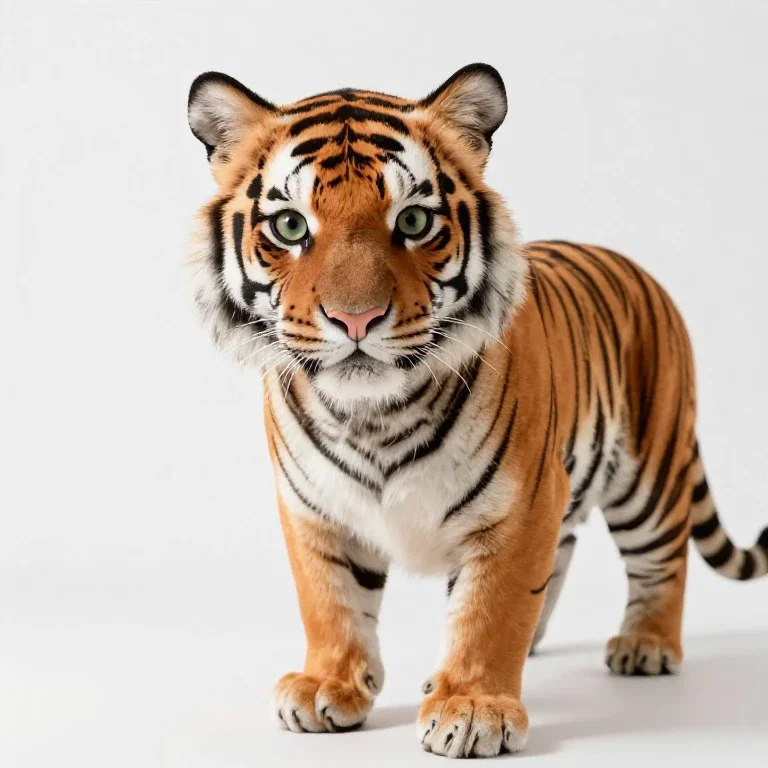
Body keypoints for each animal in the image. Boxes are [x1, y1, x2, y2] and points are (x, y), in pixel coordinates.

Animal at [185, 63, 768, 759]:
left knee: (663, 561)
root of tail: (632, 265)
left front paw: (472, 709)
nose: (356, 319)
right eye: (292, 228)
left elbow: (492, 609)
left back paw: (645, 645)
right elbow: (329, 601)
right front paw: (329, 685)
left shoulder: (521, 504)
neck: (371, 415)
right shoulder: (313, 509)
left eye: (412, 221)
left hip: (649, 470)